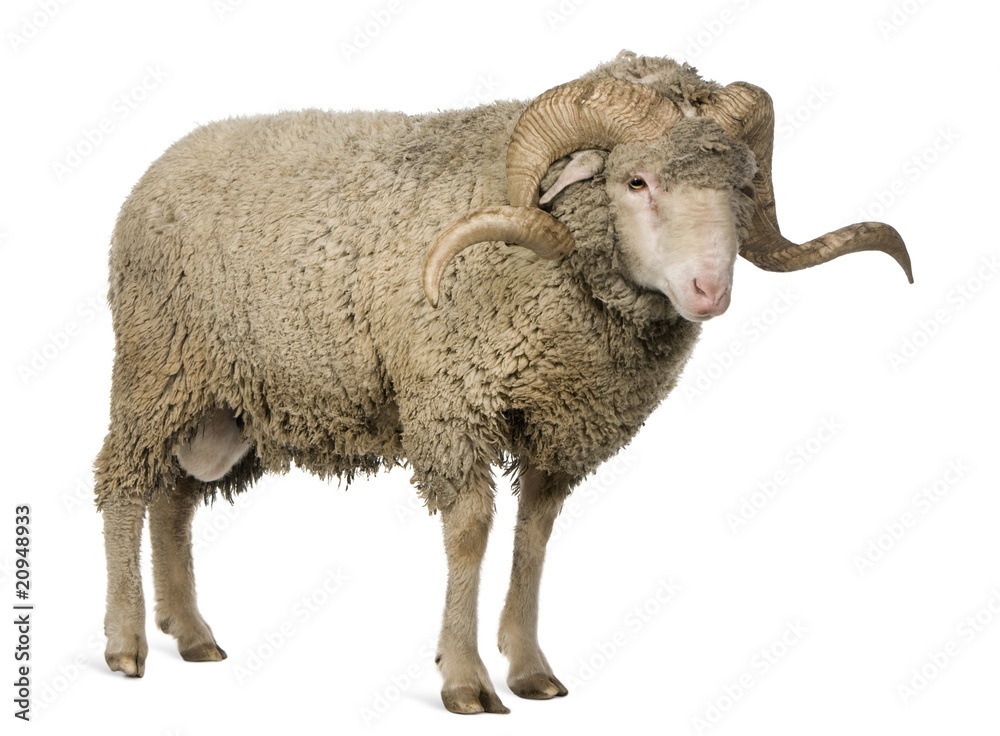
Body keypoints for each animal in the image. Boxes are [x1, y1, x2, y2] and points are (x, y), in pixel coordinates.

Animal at [96, 50, 912, 714]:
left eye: (743, 185)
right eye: (636, 180)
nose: (709, 290)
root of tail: (166, 161)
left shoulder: (559, 421)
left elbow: (535, 534)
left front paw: (530, 668)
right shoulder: (450, 402)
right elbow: (471, 532)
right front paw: (464, 680)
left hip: (225, 405)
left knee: (175, 497)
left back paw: (190, 633)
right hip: (154, 367)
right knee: (124, 485)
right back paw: (127, 641)